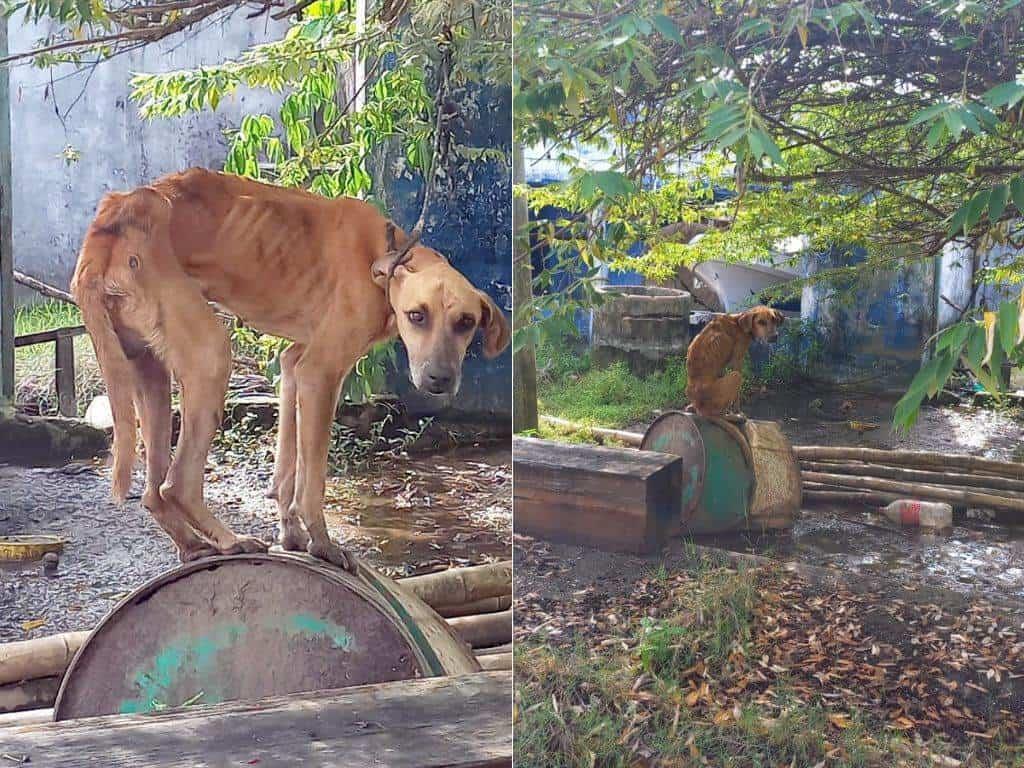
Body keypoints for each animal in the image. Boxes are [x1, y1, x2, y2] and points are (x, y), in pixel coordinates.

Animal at [70, 171, 509, 573]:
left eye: (466, 322)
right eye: (417, 316)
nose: (439, 380)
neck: (381, 255)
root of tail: (111, 217)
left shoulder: (295, 365)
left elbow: (287, 466)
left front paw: (292, 535)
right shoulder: (321, 373)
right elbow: (311, 481)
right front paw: (322, 544)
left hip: (150, 374)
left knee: (153, 494)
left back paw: (194, 547)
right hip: (212, 356)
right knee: (177, 485)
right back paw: (231, 541)